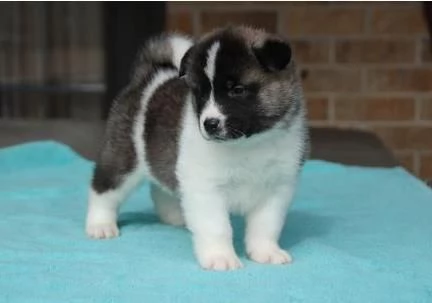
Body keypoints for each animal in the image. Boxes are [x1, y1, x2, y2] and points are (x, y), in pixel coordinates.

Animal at [86, 26, 308, 272]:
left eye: (237, 90)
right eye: (201, 93)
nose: (209, 124)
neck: (248, 144)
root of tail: (148, 76)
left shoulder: (276, 189)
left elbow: (266, 226)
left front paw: (266, 252)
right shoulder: (206, 190)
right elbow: (217, 227)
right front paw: (220, 257)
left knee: (161, 187)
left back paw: (174, 215)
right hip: (123, 157)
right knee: (104, 191)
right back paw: (100, 225)